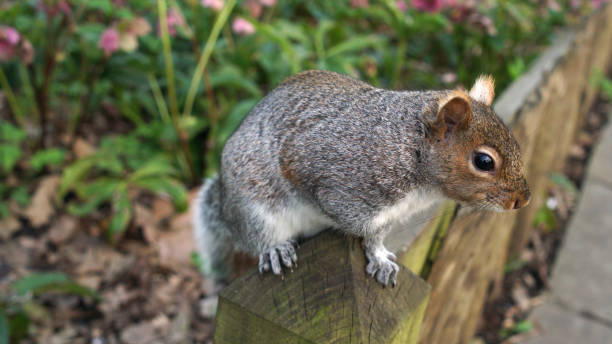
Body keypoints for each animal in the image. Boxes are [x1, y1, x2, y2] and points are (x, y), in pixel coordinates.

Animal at [194, 69, 528, 284]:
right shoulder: (341, 185)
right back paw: (274, 249)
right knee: (257, 235)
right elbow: (362, 227)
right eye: (483, 161)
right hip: (253, 206)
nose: (522, 201)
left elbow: (379, 234)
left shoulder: (393, 213)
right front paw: (374, 253)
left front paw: (380, 255)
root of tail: (225, 205)